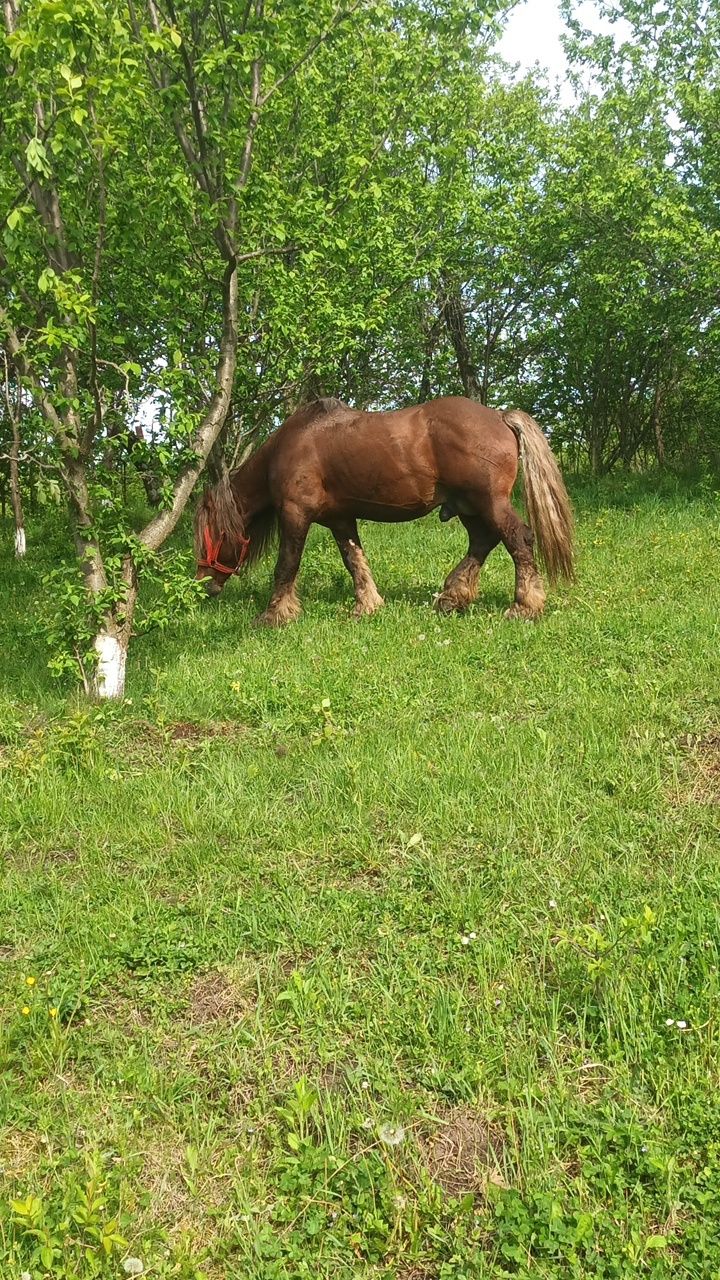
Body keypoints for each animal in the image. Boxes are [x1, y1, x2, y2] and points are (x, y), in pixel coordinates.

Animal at [192, 394, 571, 624]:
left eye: (212, 534)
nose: (202, 585)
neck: (290, 446)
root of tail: (500, 416)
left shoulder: (295, 514)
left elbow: (286, 565)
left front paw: (274, 615)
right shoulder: (340, 519)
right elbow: (354, 560)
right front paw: (367, 604)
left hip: (489, 502)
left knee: (518, 539)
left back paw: (524, 605)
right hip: (469, 507)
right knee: (482, 542)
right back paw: (452, 596)